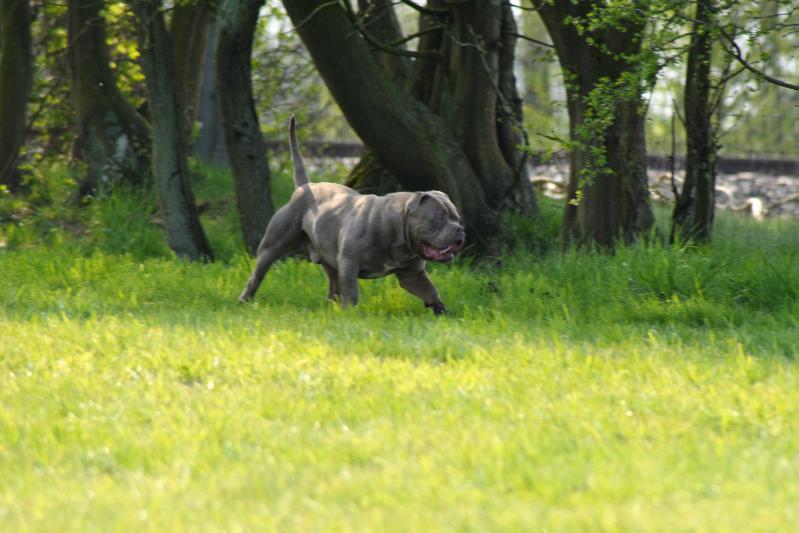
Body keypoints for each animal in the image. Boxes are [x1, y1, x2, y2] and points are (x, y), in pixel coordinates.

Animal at [236, 113, 462, 312]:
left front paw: (441, 311)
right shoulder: (349, 265)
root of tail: (304, 186)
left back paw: (332, 309)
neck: (393, 227)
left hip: (328, 259)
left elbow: (431, 291)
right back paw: (244, 301)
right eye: (439, 218)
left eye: (456, 218)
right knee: (256, 276)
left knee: (333, 286)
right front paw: (351, 314)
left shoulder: (412, 274)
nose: (460, 230)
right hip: (272, 247)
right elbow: (352, 293)